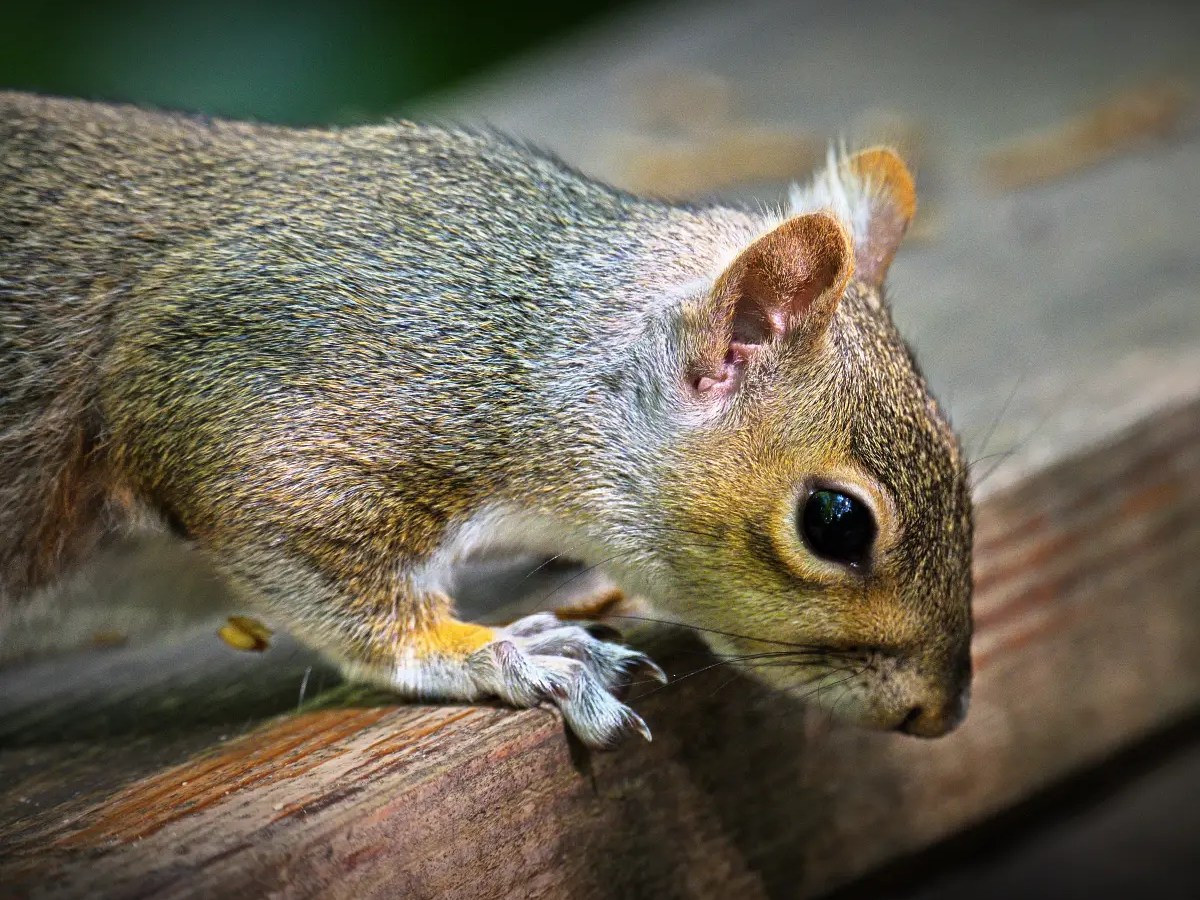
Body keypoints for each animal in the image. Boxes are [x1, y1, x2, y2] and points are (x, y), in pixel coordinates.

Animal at [0, 92, 973, 748]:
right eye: (836, 523)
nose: (941, 712)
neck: (534, 352)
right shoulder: (251, 413)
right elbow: (327, 579)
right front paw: (496, 652)